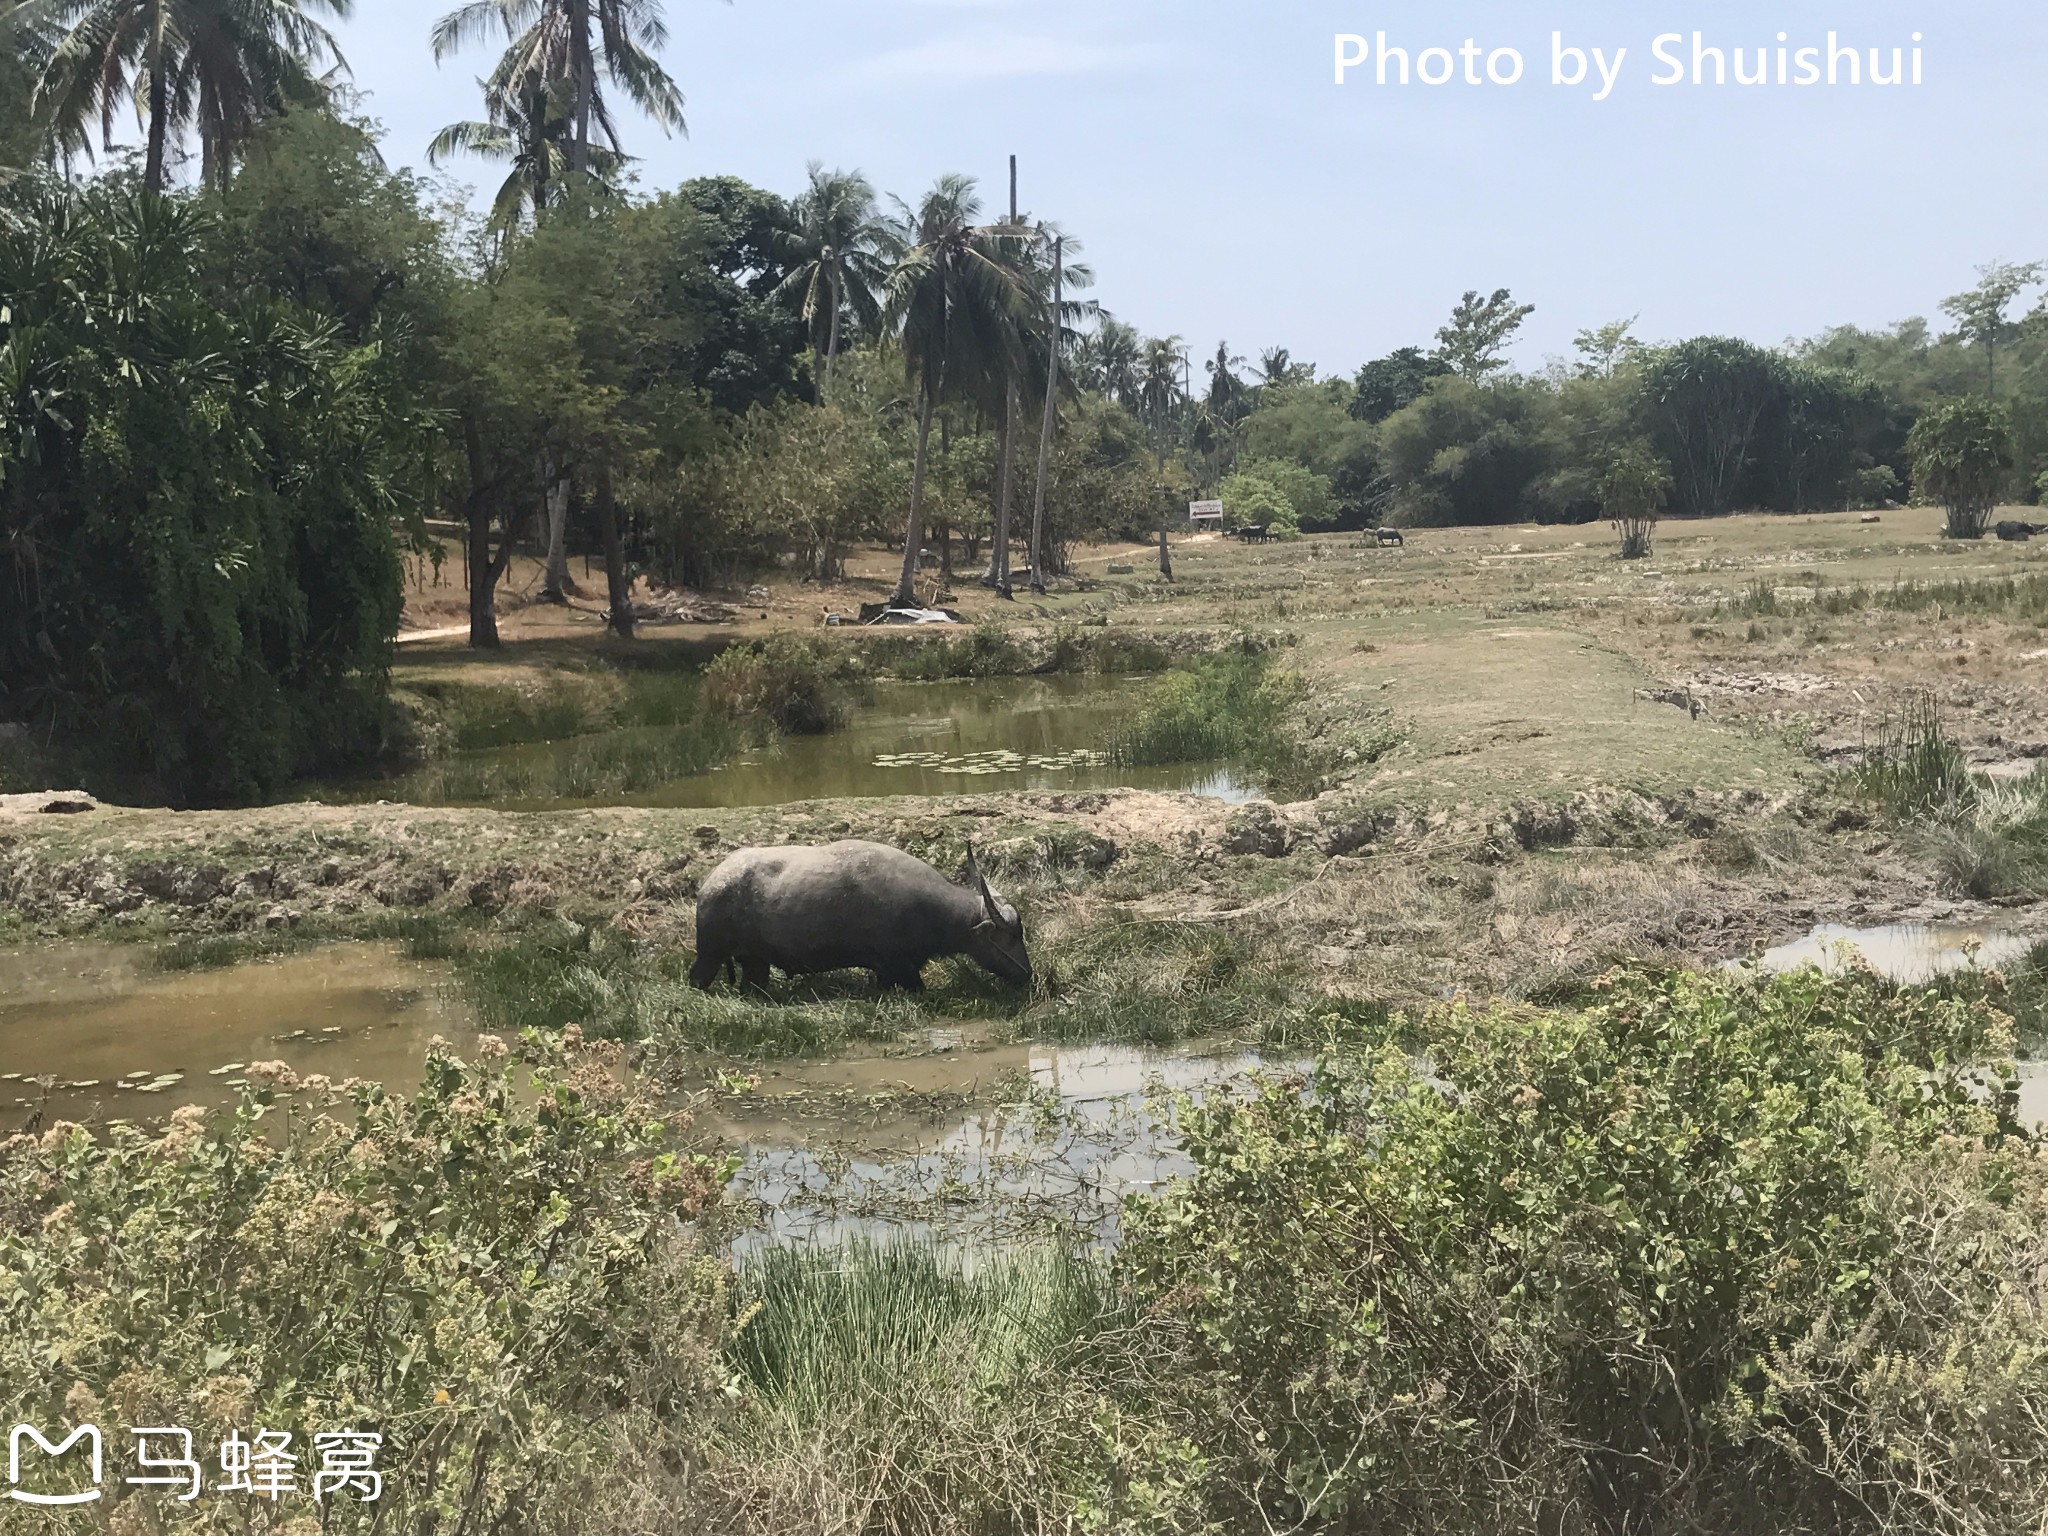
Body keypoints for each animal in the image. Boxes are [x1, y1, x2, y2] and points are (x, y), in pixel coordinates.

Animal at [696, 843, 1032, 999]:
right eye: (1009, 937)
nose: (1027, 974)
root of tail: (709, 884)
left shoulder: (887, 973)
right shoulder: (899, 968)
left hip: (756, 964)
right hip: (709, 955)